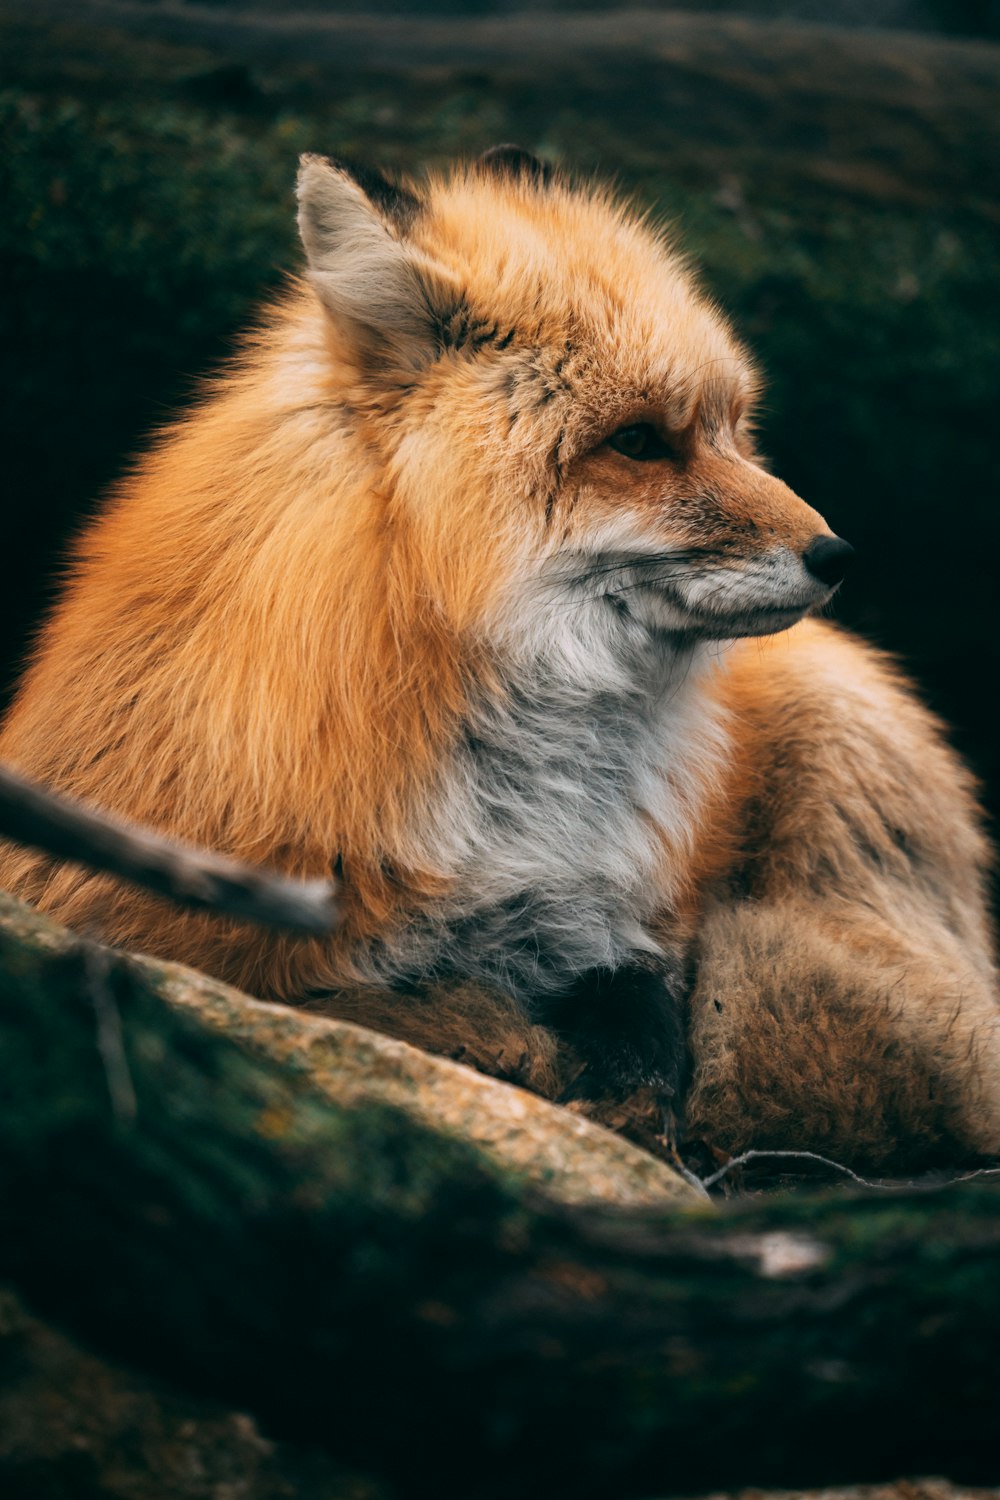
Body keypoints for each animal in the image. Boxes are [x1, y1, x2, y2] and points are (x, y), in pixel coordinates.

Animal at [1, 143, 1000, 1170]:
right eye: (639, 441)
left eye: (730, 429)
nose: (838, 555)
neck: (527, 805)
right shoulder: (155, 913)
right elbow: (377, 1004)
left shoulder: (633, 929)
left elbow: (647, 1030)